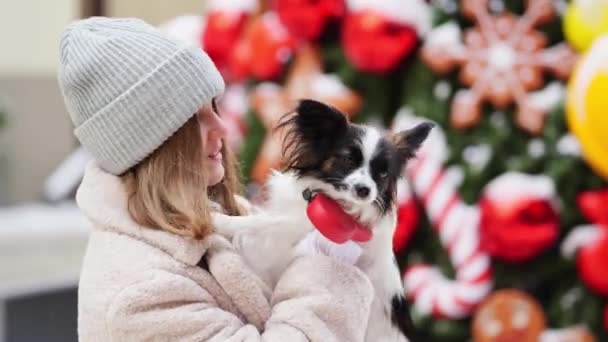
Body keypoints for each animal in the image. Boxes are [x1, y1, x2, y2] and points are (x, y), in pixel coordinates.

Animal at [214, 99, 432, 342]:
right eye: (347, 159)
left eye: (383, 174)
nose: (365, 190)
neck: (335, 200)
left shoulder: (295, 229)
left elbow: (263, 223)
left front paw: (219, 221)